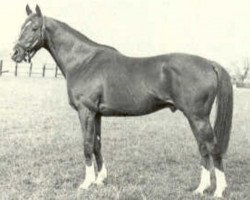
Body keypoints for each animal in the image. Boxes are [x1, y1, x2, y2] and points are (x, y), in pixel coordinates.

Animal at [11, 5, 233, 198]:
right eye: (21, 27)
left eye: (34, 28)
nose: (15, 53)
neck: (83, 61)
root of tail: (209, 63)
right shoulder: (97, 114)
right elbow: (97, 144)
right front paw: (100, 180)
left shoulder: (86, 111)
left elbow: (87, 144)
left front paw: (86, 183)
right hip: (194, 118)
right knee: (203, 149)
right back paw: (201, 189)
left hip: (198, 117)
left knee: (212, 148)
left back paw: (218, 191)